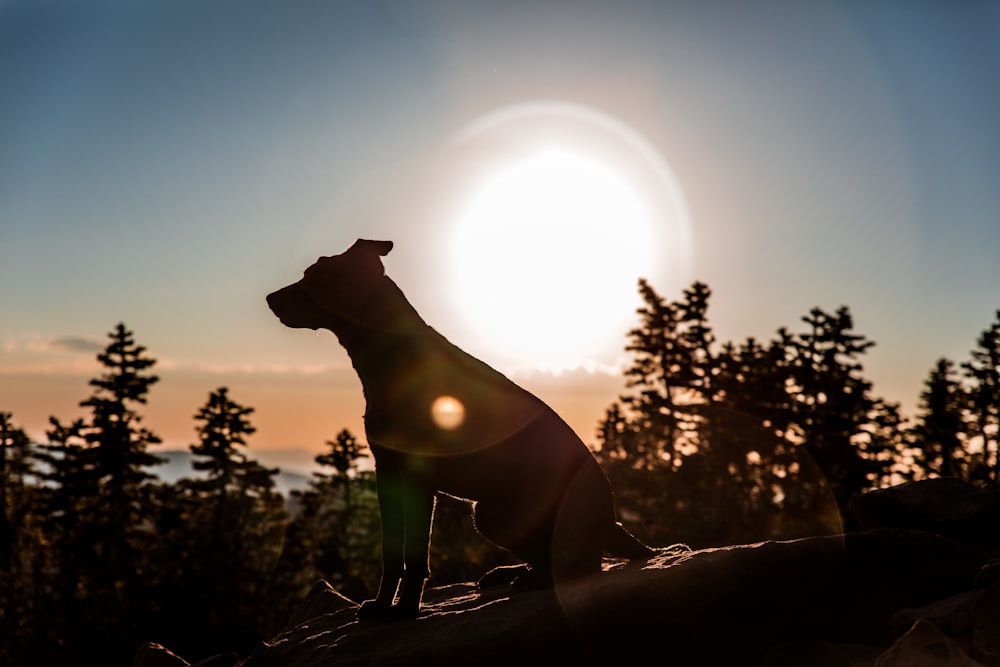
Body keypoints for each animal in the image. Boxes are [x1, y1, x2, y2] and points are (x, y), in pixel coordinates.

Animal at [268, 240, 656, 620]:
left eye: (314, 276)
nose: (270, 298)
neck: (392, 354)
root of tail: (614, 523)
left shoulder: (418, 479)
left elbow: (415, 555)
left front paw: (405, 610)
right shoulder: (387, 472)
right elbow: (390, 553)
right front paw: (381, 605)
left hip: (500, 515)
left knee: (583, 565)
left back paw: (531, 579)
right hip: (489, 514)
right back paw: (512, 573)